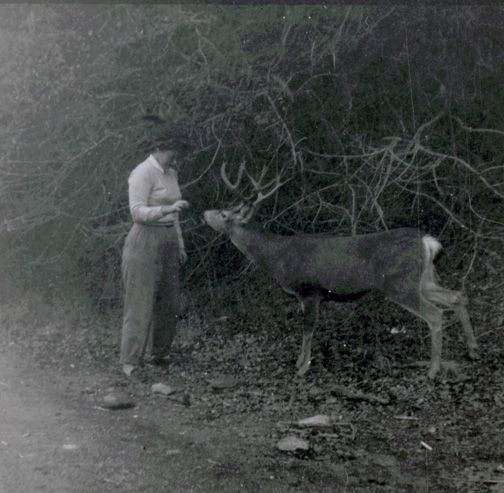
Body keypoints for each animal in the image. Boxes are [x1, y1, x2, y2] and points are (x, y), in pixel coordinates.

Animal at [203, 160, 478, 378]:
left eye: (224, 214)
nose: (204, 212)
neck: (276, 257)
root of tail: (426, 241)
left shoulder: (309, 291)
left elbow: (308, 329)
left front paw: (302, 367)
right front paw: (300, 362)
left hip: (400, 282)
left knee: (435, 314)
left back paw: (433, 370)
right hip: (424, 278)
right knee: (457, 296)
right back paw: (473, 351)